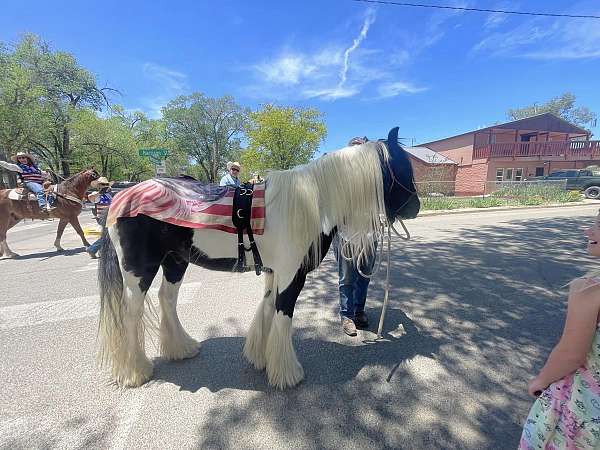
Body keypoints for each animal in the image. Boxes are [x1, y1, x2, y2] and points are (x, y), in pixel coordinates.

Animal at [97, 128, 418, 388]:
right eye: (403, 168)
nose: (415, 207)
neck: (311, 202)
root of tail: (121, 197)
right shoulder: (291, 275)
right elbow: (283, 315)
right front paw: (287, 374)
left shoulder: (275, 272)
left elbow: (267, 309)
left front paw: (260, 358)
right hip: (140, 270)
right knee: (131, 313)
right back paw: (136, 371)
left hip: (175, 261)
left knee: (167, 299)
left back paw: (182, 348)